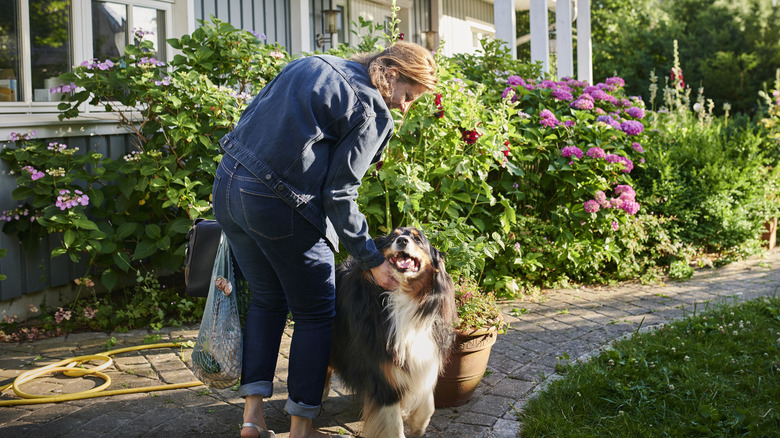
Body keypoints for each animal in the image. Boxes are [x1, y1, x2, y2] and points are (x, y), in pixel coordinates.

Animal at [328, 228, 458, 436]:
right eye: (392, 237)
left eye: (417, 239)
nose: (402, 240)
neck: (404, 296)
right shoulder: (382, 375)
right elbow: (393, 424)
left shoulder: (425, 357)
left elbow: (427, 400)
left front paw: (418, 424)